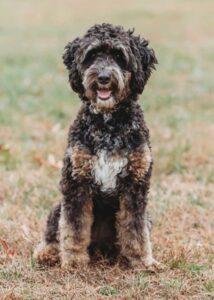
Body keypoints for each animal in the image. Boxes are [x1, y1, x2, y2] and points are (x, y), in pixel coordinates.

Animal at [33, 23, 160, 270]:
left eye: (119, 56)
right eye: (92, 55)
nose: (103, 77)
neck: (107, 123)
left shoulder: (136, 184)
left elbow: (136, 228)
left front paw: (142, 261)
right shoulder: (76, 182)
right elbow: (73, 228)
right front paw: (73, 261)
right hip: (58, 206)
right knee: (54, 231)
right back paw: (48, 253)